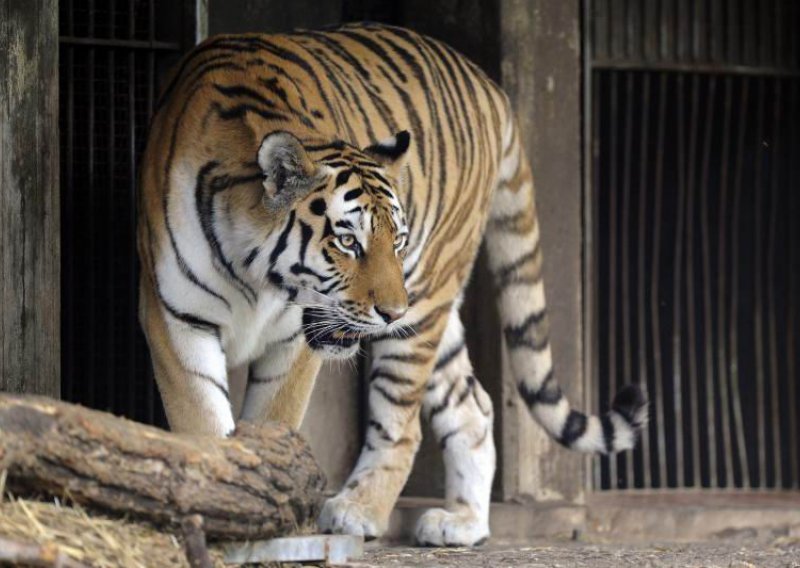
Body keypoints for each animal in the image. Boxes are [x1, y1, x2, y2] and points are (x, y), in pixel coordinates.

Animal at [139, 22, 648, 544]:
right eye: (347, 241)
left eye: (397, 241)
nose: (392, 312)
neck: (254, 275)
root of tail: (490, 86)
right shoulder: (175, 317)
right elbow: (201, 423)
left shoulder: (293, 338)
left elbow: (274, 421)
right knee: (475, 407)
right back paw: (462, 523)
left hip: (425, 304)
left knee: (404, 425)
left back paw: (359, 508)